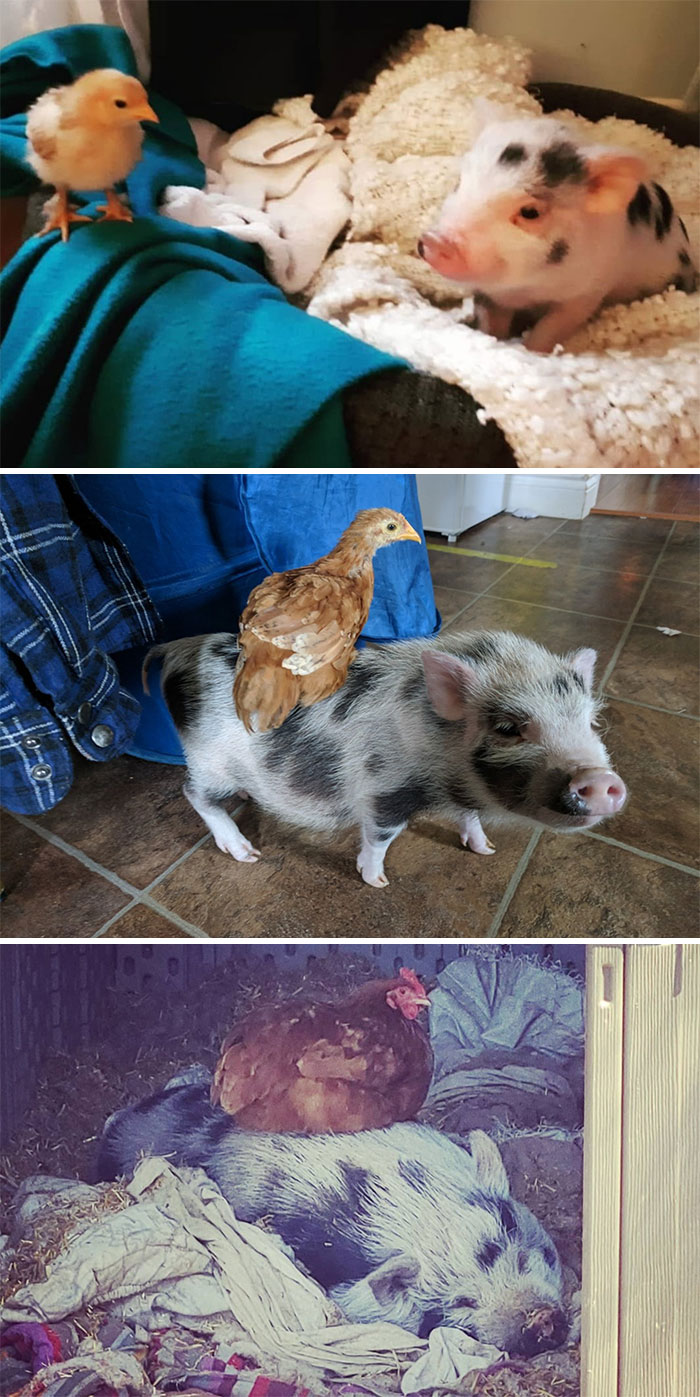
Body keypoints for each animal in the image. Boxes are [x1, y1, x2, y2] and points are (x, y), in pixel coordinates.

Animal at [144, 628, 627, 887]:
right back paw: (247, 854)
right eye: (509, 728)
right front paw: (376, 880)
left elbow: (469, 816)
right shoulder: (385, 790)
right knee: (193, 793)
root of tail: (180, 648)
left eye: (590, 722)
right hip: (208, 761)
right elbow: (381, 837)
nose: (601, 780)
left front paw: (484, 850)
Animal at [418, 109, 698, 353]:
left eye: (530, 212)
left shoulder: (587, 291)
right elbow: (490, 323)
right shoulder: (488, 293)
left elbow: (552, 327)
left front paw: (531, 351)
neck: (526, 289)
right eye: (459, 184)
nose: (433, 240)